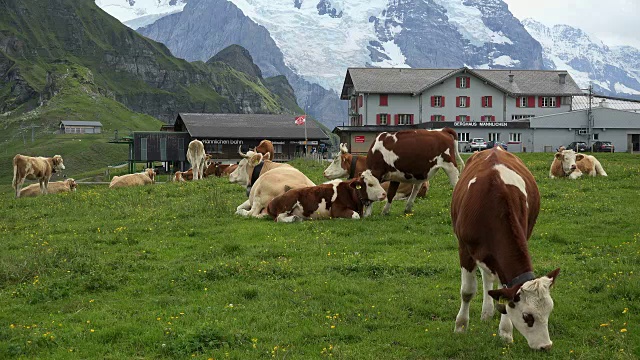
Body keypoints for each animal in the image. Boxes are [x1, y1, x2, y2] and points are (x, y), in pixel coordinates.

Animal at [450, 146, 560, 348]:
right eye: (527, 316)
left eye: (549, 311)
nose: (546, 346)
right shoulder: (464, 248)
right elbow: (467, 291)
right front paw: (460, 327)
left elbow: (505, 292)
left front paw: (506, 332)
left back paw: (487, 312)